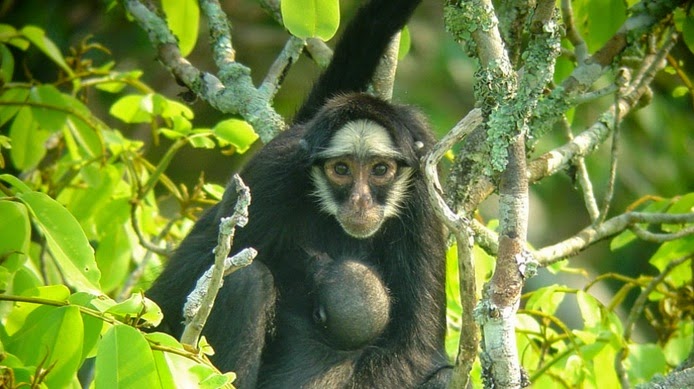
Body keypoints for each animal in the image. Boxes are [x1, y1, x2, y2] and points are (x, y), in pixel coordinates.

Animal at [147, 0, 452, 384]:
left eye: (380, 170)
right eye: (341, 170)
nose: (361, 202)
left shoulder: (421, 196)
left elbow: (418, 351)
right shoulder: (274, 173)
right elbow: (163, 302)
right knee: (247, 281)